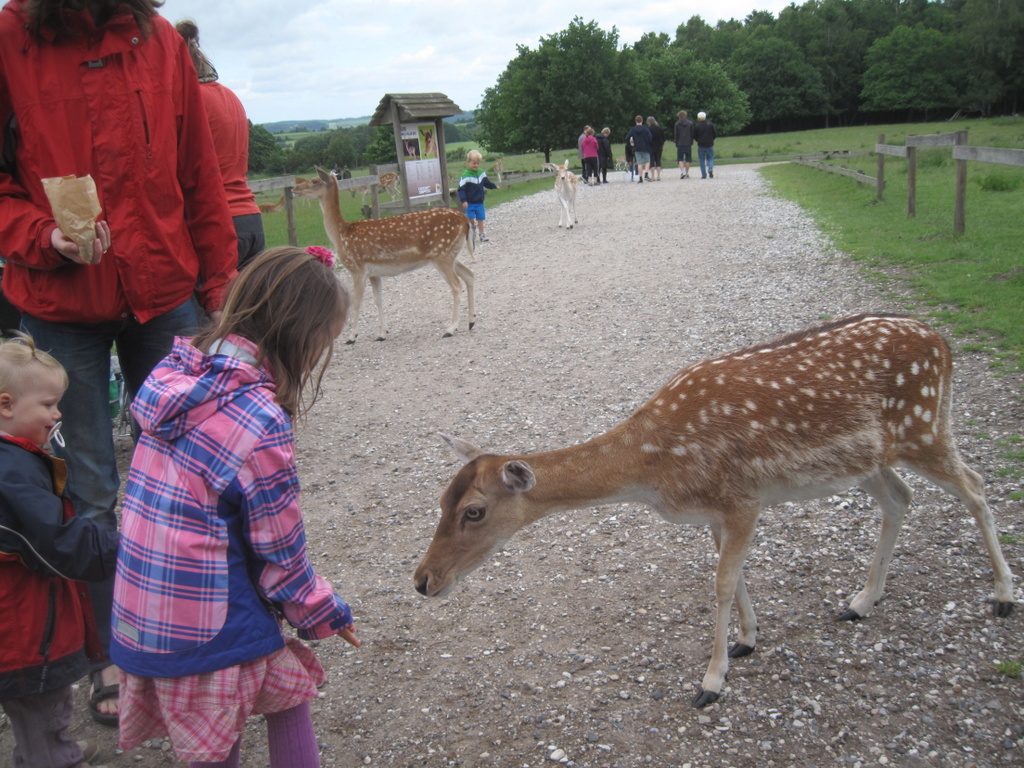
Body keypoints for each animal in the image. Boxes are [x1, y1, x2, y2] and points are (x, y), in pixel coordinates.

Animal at [293, 167, 476, 342]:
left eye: (314, 180)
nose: (295, 189)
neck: (341, 234)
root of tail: (465, 220)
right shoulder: (374, 273)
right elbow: (378, 300)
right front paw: (382, 333)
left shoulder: (357, 268)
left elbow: (356, 303)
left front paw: (352, 337)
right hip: (450, 254)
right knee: (469, 274)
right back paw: (471, 322)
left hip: (442, 254)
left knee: (456, 285)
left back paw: (451, 329)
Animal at [414, 313, 1016, 708]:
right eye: (440, 500)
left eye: (473, 511)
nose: (422, 580)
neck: (654, 472)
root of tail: (942, 341)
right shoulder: (716, 512)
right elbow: (735, 572)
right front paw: (748, 640)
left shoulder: (743, 498)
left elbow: (722, 581)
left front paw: (711, 681)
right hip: (870, 459)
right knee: (901, 498)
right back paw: (861, 602)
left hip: (925, 426)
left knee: (977, 485)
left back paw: (1004, 597)